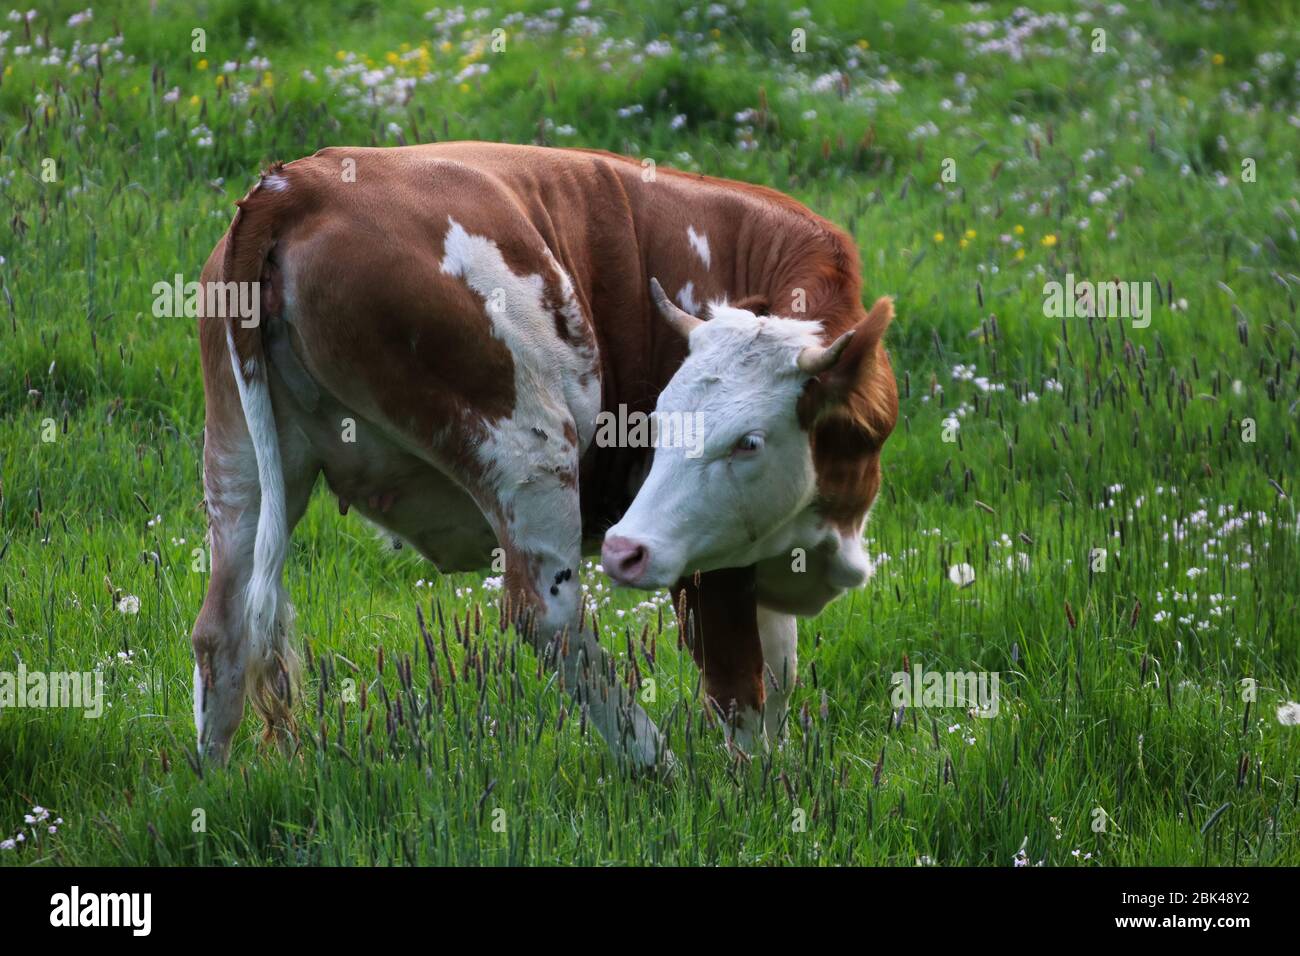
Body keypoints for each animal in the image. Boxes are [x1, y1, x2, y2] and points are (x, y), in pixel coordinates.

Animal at [190, 141, 898, 772]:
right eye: (658, 425)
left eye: (749, 441)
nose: (623, 548)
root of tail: (296, 185)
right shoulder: (708, 560)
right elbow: (740, 686)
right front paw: (754, 790)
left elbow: (779, 673)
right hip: (527, 448)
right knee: (547, 619)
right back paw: (653, 762)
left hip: (239, 462)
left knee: (221, 628)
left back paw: (214, 783)